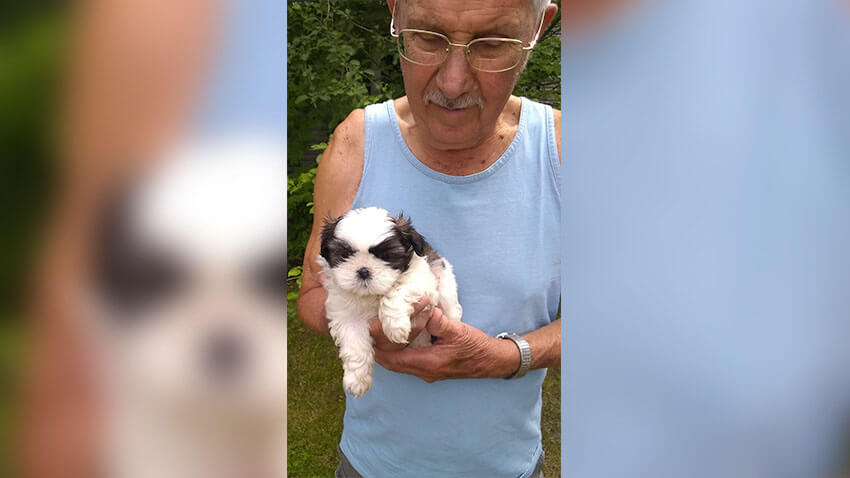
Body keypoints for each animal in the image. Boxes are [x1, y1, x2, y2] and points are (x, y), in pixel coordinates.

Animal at [314, 207, 460, 398]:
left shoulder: (423, 284)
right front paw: (357, 380)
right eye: (344, 254)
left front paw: (395, 326)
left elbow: (396, 292)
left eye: (386, 256)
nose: (363, 271)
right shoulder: (346, 316)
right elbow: (354, 347)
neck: (372, 295)